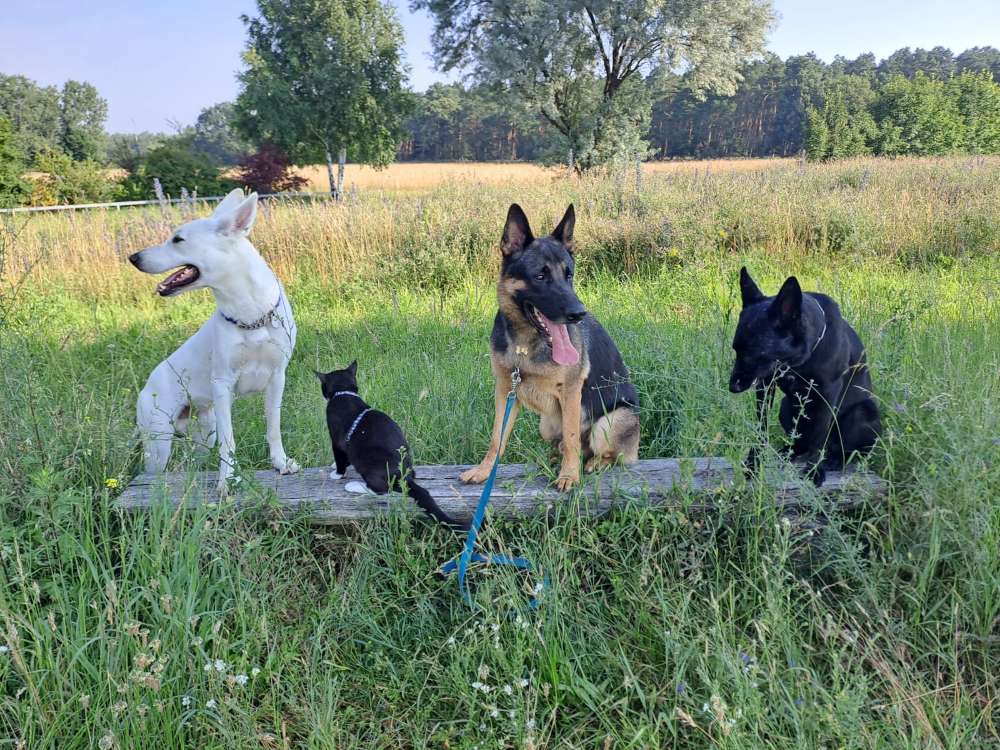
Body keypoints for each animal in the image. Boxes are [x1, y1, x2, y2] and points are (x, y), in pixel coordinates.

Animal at [129, 188, 300, 496]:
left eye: (178, 239)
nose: (133, 257)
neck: (250, 315)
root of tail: (146, 387)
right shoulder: (222, 384)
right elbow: (229, 441)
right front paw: (227, 481)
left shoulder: (277, 378)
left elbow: (273, 428)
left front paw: (281, 463)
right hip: (158, 445)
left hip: (204, 433)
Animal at [316, 362, 464, 528]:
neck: (344, 393)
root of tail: (404, 476)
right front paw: (334, 466)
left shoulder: (336, 439)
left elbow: (340, 457)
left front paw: (337, 473)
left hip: (366, 462)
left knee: (381, 490)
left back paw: (353, 486)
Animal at [728, 268, 884, 484]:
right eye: (736, 349)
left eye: (753, 353)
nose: (732, 387)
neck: (798, 363)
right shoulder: (766, 385)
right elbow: (761, 428)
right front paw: (753, 464)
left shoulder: (828, 393)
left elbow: (820, 435)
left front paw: (814, 470)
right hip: (786, 406)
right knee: (801, 443)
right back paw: (789, 451)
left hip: (862, 412)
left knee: (849, 450)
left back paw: (835, 459)